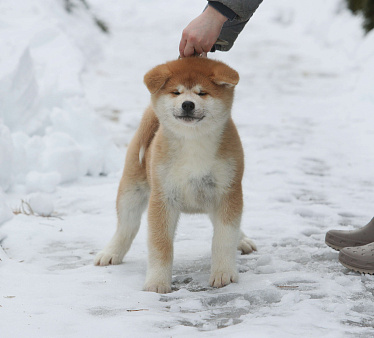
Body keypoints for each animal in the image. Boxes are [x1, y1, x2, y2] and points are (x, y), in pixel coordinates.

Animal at [95, 57, 256, 294]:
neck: (193, 144)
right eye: (176, 92)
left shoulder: (227, 191)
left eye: (202, 93)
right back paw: (110, 252)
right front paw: (156, 283)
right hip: (132, 190)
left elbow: (224, 237)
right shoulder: (163, 197)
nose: (187, 104)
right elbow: (161, 245)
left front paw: (224, 273)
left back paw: (242, 239)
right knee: (126, 226)